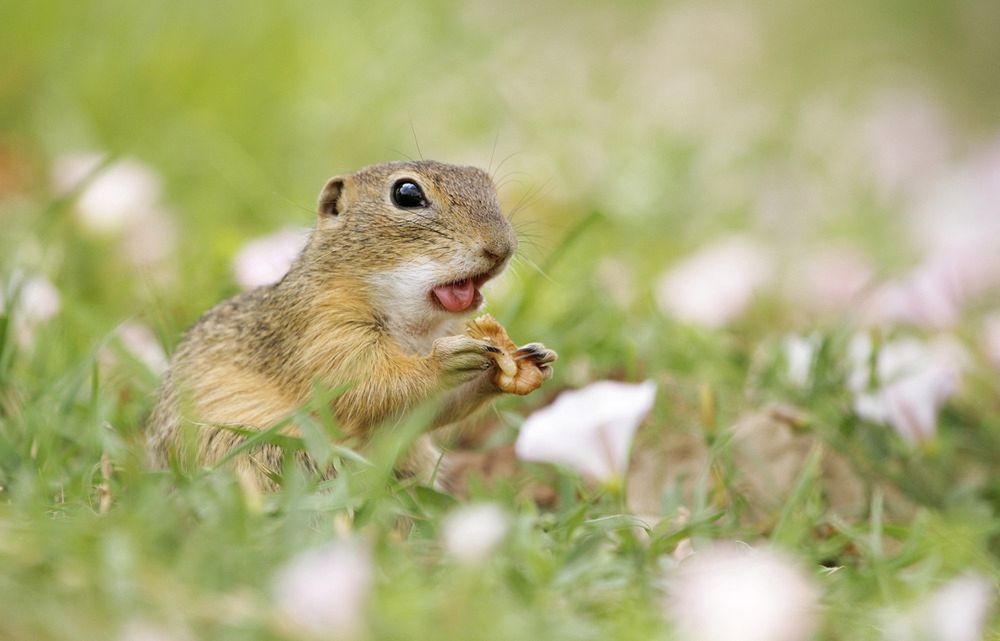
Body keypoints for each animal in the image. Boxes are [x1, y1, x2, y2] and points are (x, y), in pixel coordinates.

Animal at [148, 159, 560, 484]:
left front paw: (525, 361)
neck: (415, 327)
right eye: (406, 193)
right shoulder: (322, 332)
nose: (502, 247)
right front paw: (445, 361)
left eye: (484, 181)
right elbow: (360, 389)